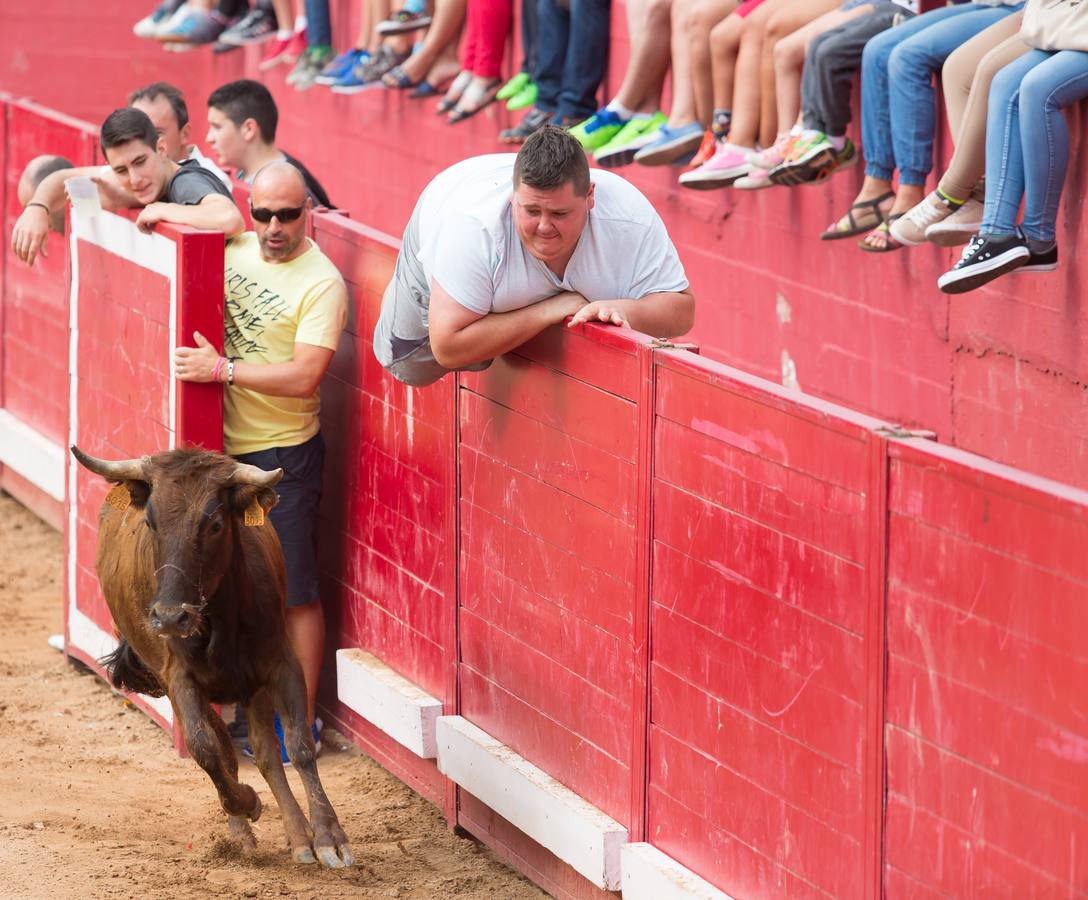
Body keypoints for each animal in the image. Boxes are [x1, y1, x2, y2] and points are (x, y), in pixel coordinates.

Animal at [71, 444, 352, 866]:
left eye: (215, 525)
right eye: (151, 522)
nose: (171, 616)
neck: (222, 615)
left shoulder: (281, 665)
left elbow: (299, 744)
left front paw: (328, 837)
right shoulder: (179, 677)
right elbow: (206, 749)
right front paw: (247, 804)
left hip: (251, 687)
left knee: (266, 751)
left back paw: (298, 834)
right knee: (223, 747)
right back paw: (244, 829)